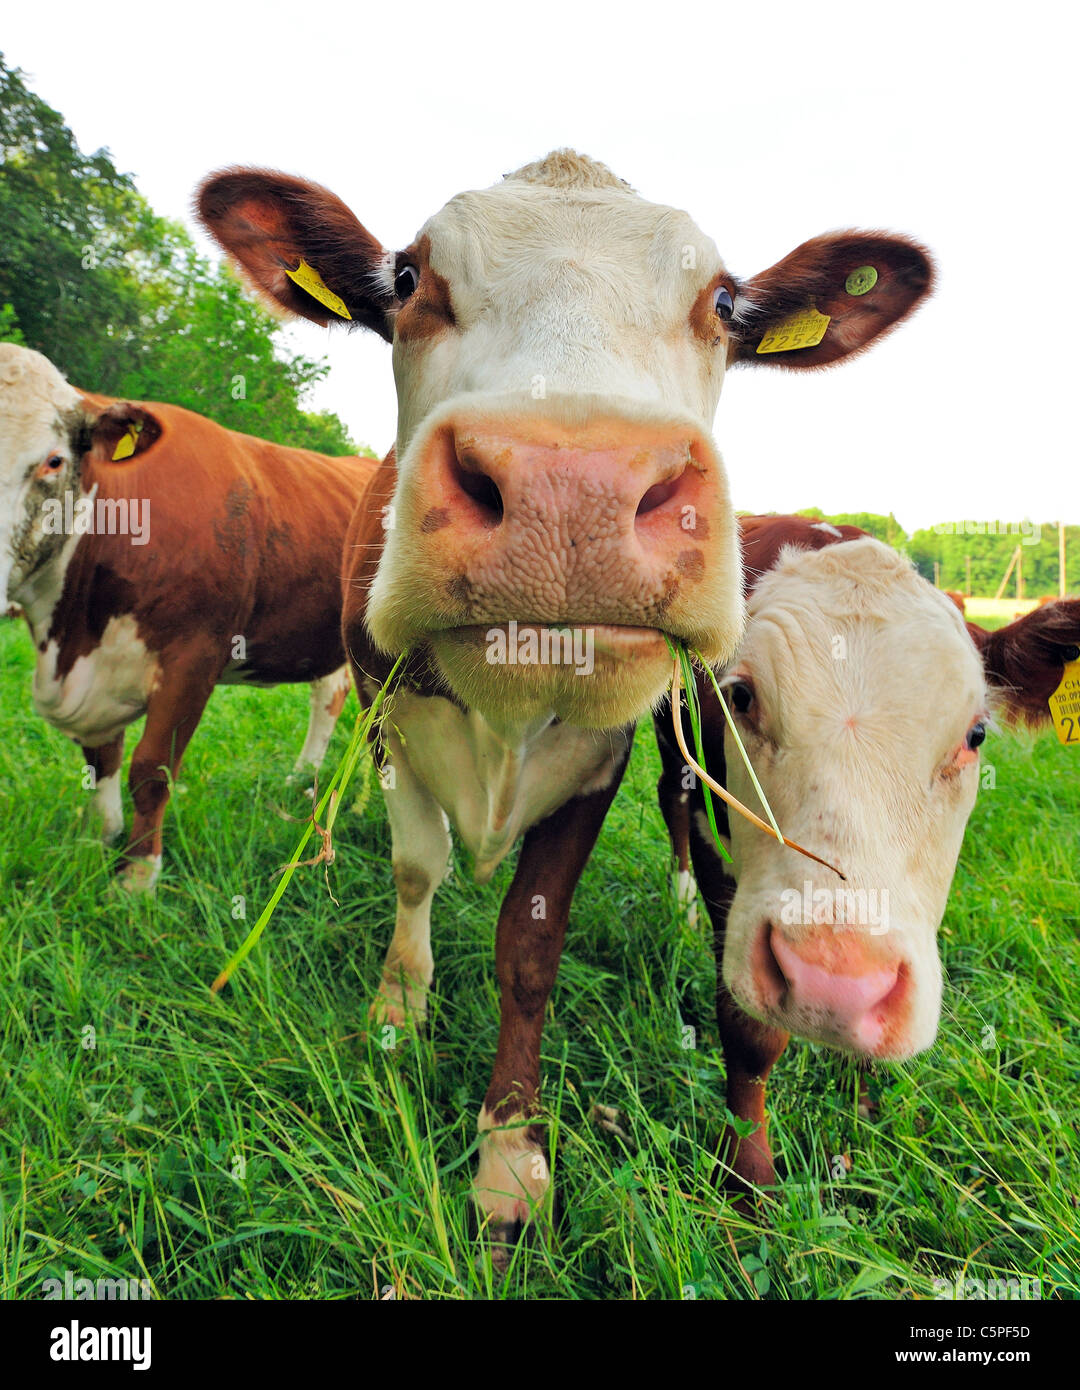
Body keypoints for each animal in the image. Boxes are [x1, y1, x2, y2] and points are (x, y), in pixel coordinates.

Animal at [2, 347, 375, 889]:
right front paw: (100, 839)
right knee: (330, 695)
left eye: (53, 461)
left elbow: (151, 769)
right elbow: (101, 759)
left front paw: (138, 874)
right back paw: (301, 777)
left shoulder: (194, 659)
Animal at [195, 149, 934, 1251]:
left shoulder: (600, 761)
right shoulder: (394, 712)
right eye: (407, 277)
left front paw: (508, 1157)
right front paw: (398, 1008)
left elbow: (530, 946)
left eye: (724, 303)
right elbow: (415, 869)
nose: (568, 490)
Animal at [653, 517, 1078, 1189]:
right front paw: (750, 1177)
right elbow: (748, 1033)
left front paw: (865, 1097)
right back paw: (681, 905)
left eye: (977, 734)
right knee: (670, 794)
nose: (834, 984)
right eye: (740, 697)